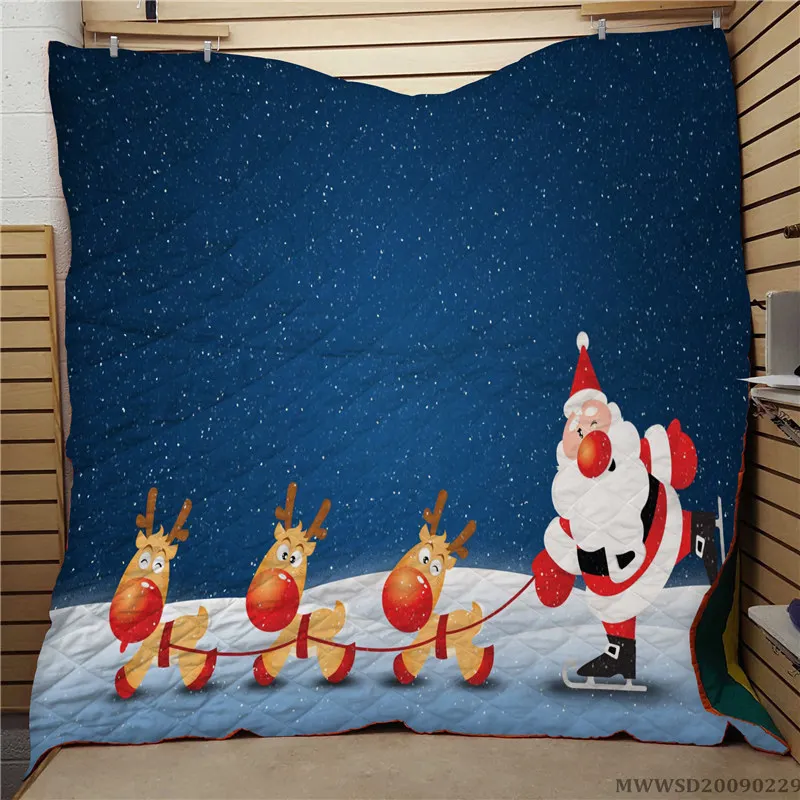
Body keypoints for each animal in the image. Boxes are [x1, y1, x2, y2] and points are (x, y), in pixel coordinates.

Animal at [109, 488, 216, 698]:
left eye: (159, 564)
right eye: (143, 560)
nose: (146, 585)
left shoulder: (148, 648)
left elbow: (138, 663)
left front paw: (125, 682)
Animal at [245, 483, 355, 686]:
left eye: (293, 558)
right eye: (283, 554)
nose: (281, 575)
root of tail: (336, 613)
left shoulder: (283, 640)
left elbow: (274, 655)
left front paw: (263, 671)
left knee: (332, 654)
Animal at [382, 490, 494, 686]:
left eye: (435, 567)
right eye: (424, 557)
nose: (412, 579)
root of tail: (473, 615)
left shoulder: (423, 640)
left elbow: (413, 654)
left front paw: (403, 670)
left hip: (463, 644)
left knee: (472, 657)